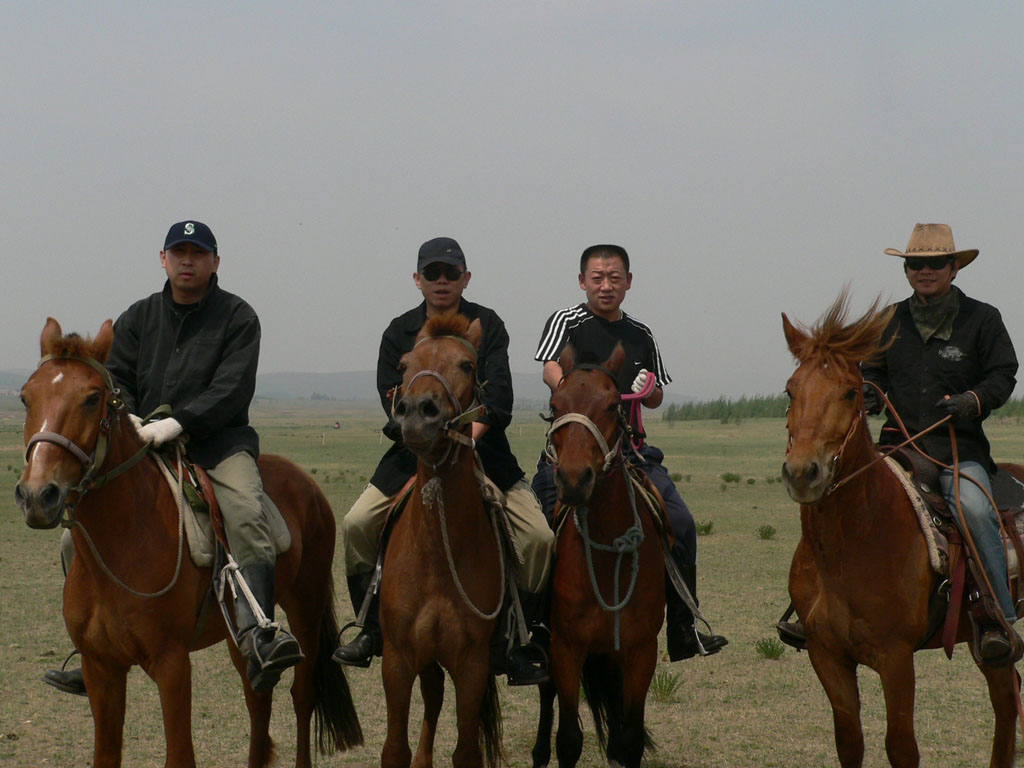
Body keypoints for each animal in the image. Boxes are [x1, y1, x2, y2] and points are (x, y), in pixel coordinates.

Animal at [14, 319, 362, 768]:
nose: (38, 495)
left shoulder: (172, 664)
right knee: (259, 700)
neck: (124, 543)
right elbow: (106, 754)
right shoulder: (101, 669)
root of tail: (307, 483)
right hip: (240, 639)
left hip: (306, 605)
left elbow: (180, 754)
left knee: (302, 697)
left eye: (92, 399)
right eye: (26, 397)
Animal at [378, 313, 501, 768]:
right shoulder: (397, 659)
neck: (436, 550)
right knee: (431, 699)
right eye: (403, 365)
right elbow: (394, 748)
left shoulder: (473, 663)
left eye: (467, 365)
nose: (415, 413)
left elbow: (466, 750)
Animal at [528, 346, 663, 768]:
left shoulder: (640, 652)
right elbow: (569, 739)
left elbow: (630, 740)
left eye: (611, 405)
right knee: (547, 695)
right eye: (556, 405)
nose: (574, 480)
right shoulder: (566, 650)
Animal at [782, 294, 1015, 768]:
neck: (852, 543)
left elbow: (901, 747)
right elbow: (850, 743)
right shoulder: (826, 655)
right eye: (790, 390)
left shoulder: (896, 658)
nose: (802, 473)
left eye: (850, 392)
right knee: (1006, 699)